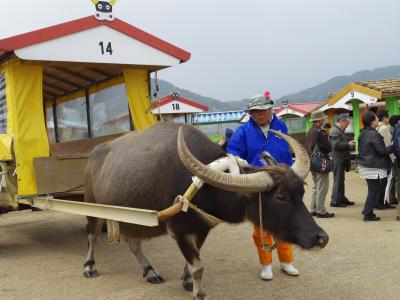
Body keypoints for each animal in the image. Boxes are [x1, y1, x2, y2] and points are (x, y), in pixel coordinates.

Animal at [83, 122, 328, 300]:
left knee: (134, 242)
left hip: (132, 217)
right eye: (281, 197)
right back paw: (90, 267)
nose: (321, 238)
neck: (201, 184)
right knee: (92, 235)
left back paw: (150, 271)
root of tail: (94, 154)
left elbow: (194, 261)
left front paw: (186, 280)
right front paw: (197, 291)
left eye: (301, 191)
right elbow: (198, 267)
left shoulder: (202, 228)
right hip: (92, 207)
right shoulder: (180, 231)